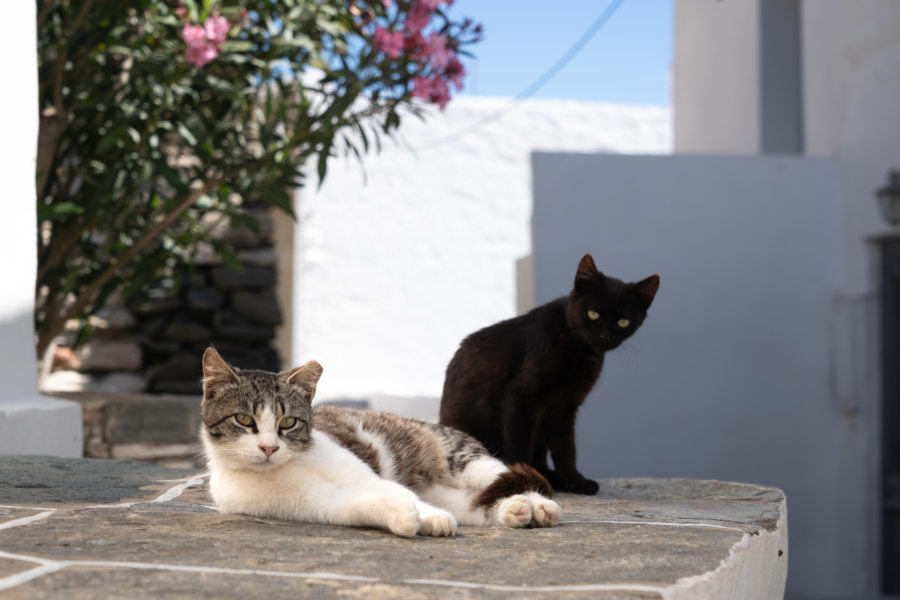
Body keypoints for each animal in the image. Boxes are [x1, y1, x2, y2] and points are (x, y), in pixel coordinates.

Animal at [200, 344, 560, 536]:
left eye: (287, 422)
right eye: (244, 420)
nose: (269, 447)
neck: (289, 467)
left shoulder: (361, 474)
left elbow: (392, 489)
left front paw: (429, 518)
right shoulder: (319, 504)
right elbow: (364, 504)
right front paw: (408, 519)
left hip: (467, 460)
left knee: (501, 477)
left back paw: (540, 506)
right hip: (450, 491)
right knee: (474, 503)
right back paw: (515, 510)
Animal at [440, 253, 656, 492]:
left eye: (623, 321)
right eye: (593, 314)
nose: (605, 337)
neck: (578, 349)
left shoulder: (564, 407)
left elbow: (566, 448)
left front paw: (575, 481)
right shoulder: (522, 397)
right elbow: (520, 443)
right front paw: (522, 479)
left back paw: (551, 477)